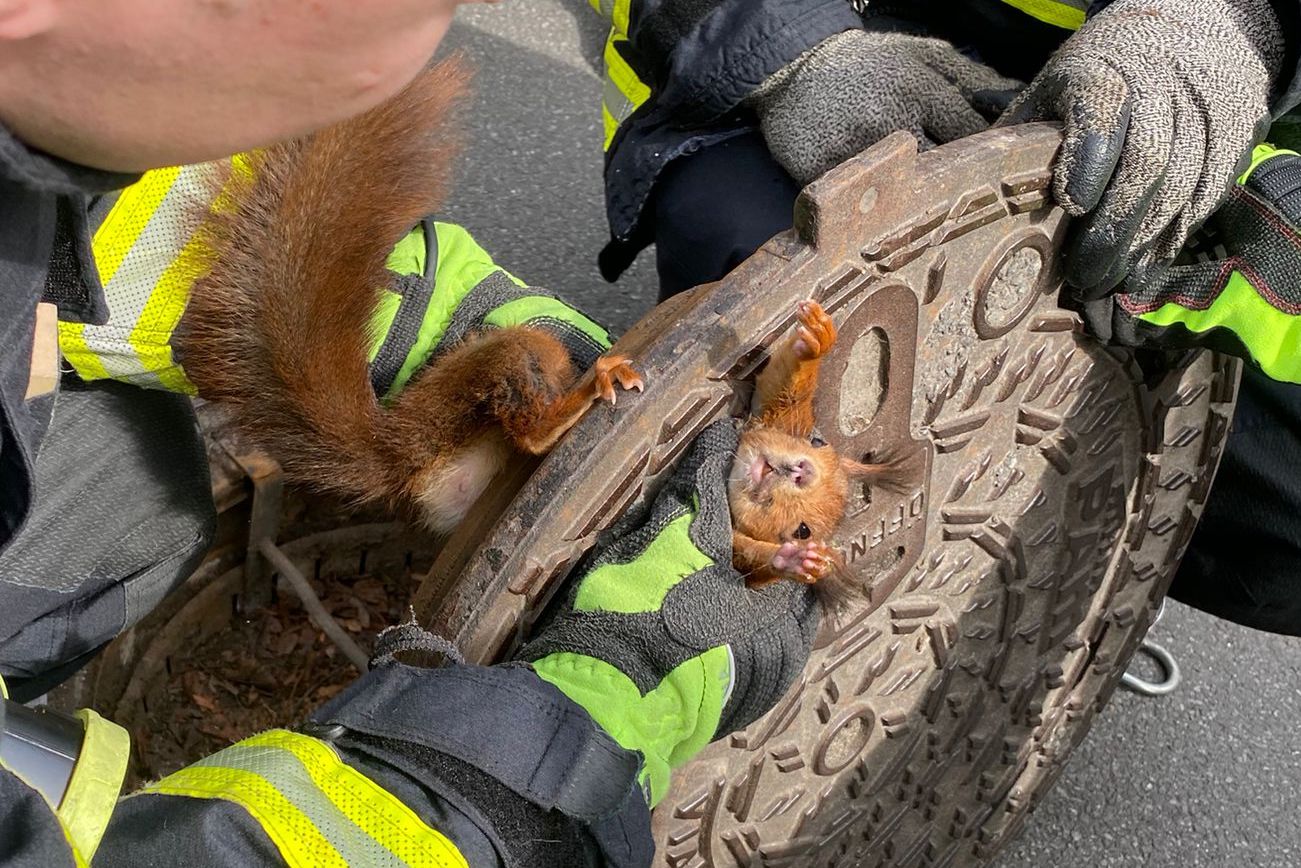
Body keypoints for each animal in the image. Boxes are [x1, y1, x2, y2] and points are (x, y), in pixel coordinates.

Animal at [728, 296, 910, 590]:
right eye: (815, 440)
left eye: (803, 531)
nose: (803, 471)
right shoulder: (773, 416)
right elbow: (779, 389)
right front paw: (818, 339)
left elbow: (744, 561)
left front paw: (794, 561)